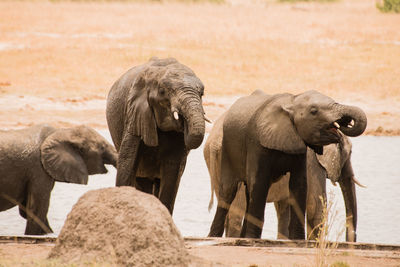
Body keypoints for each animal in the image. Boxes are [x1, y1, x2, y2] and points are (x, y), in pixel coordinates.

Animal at [104, 57, 208, 215]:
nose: (183, 121)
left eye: (201, 93)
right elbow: (127, 162)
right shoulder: (134, 115)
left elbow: (172, 170)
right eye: (163, 91)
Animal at [206, 90, 366, 241]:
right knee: (233, 200)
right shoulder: (311, 162)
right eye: (349, 152)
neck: (292, 102)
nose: (345, 122)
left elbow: (293, 194)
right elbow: (315, 205)